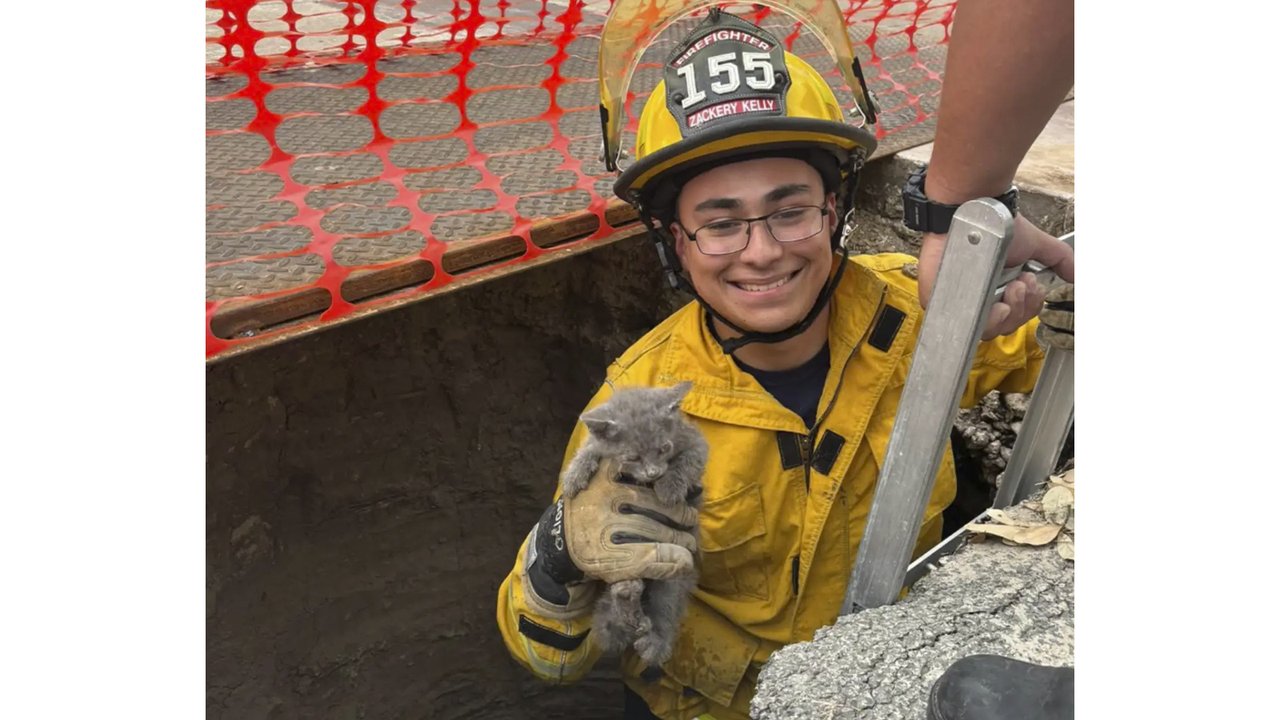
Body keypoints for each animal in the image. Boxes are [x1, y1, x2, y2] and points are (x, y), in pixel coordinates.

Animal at [560, 379, 706, 666]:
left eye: (663, 448)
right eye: (634, 457)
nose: (653, 472)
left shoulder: (696, 442)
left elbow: (687, 461)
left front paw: (669, 488)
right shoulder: (600, 445)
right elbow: (589, 448)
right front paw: (574, 475)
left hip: (673, 578)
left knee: (665, 612)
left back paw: (653, 641)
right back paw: (626, 604)